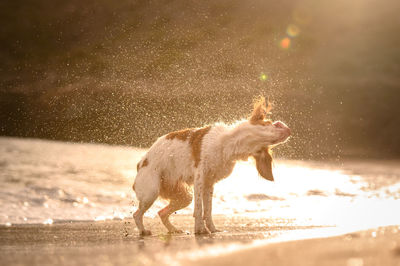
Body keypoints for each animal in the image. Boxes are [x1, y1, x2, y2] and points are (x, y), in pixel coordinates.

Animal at [132, 97, 290, 235]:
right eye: (269, 125)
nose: (289, 131)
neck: (227, 144)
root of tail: (140, 163)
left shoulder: (209, 183)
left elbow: (208, 210)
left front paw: (212, 230)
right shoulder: (200, 178)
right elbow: (199, 209)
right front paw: (200, 229)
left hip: (183, 196)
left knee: (161, 213)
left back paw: (173, 230)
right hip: (151, 191)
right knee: (137, 214)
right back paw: (143, 231)